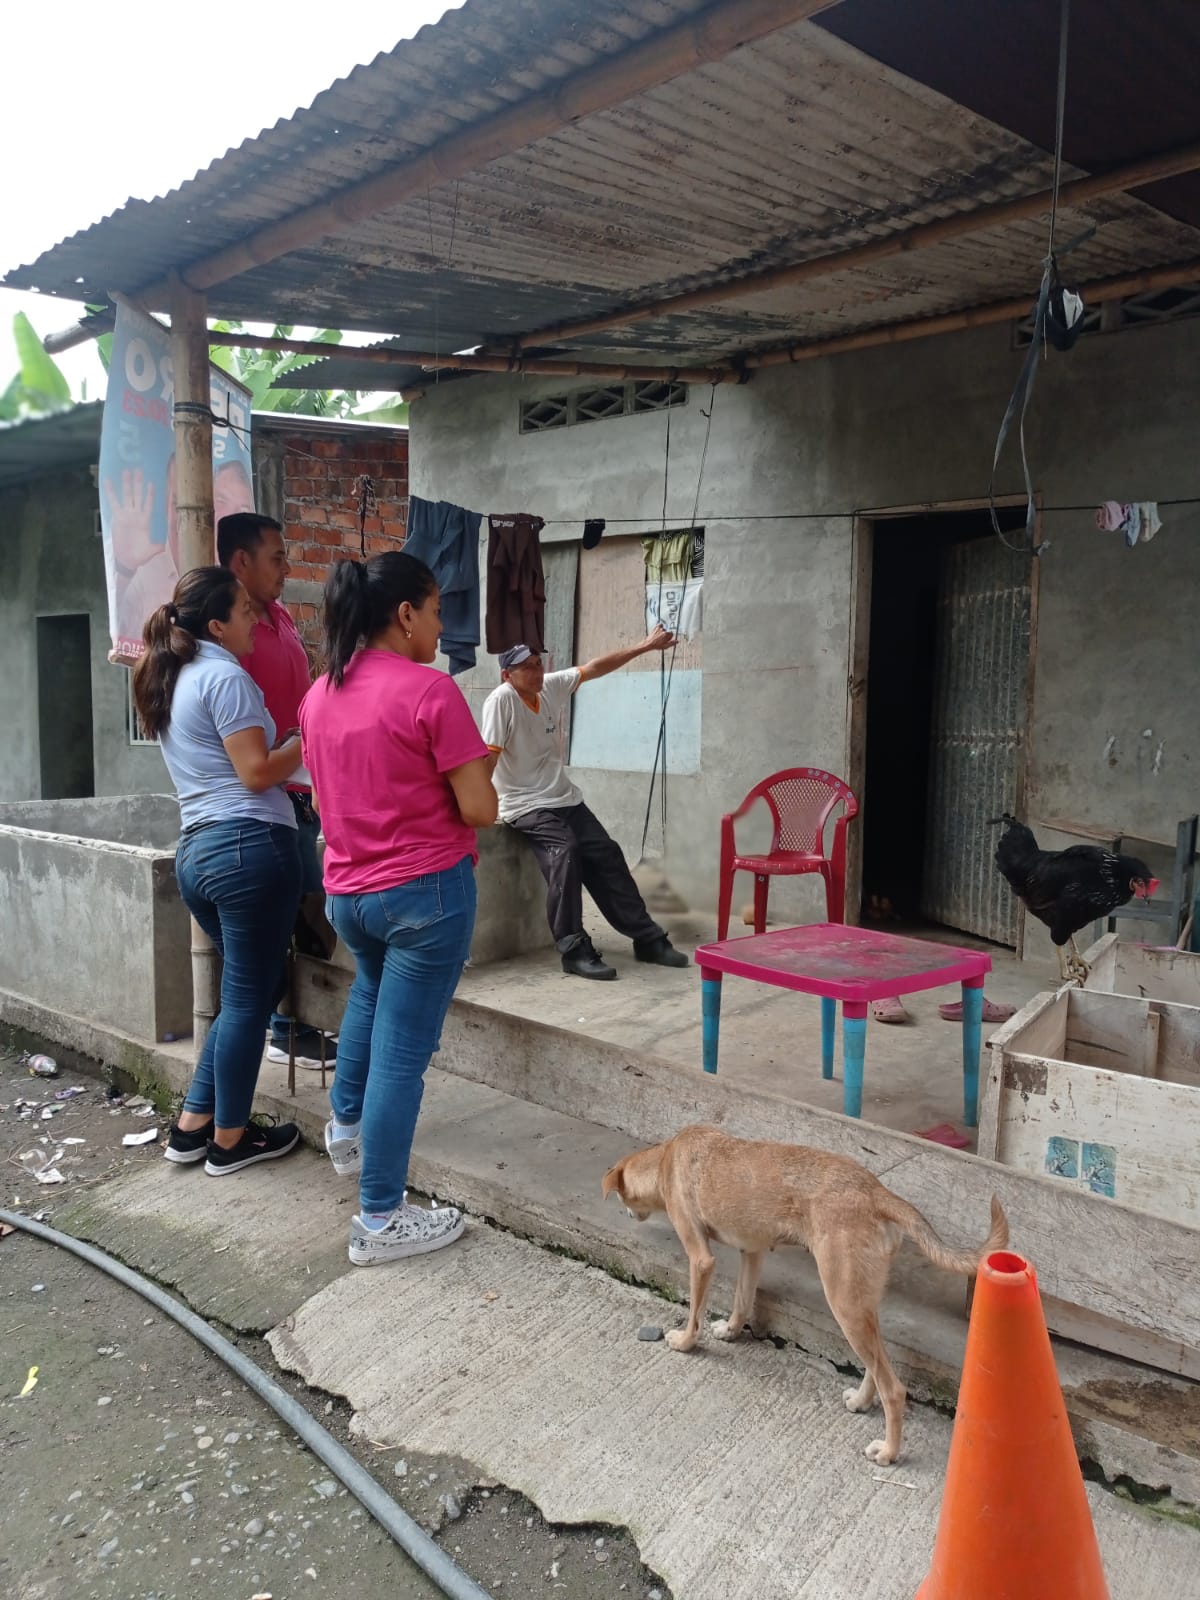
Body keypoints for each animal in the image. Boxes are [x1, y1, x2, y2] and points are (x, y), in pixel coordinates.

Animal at [601, 1125, 1008, 1464]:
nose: (625, 1214)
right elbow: (742, 1300)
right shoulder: (753, 1252)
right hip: (860, 1302)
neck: (665, 1159)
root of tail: (877, 1193)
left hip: (843, 1302)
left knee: (894, 1388)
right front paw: (730, 1331)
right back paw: (861, 1401)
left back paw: (889, 1452)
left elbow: (695, 1314)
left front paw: (685, 1342)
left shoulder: (701, 1259)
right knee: (877, 1365)